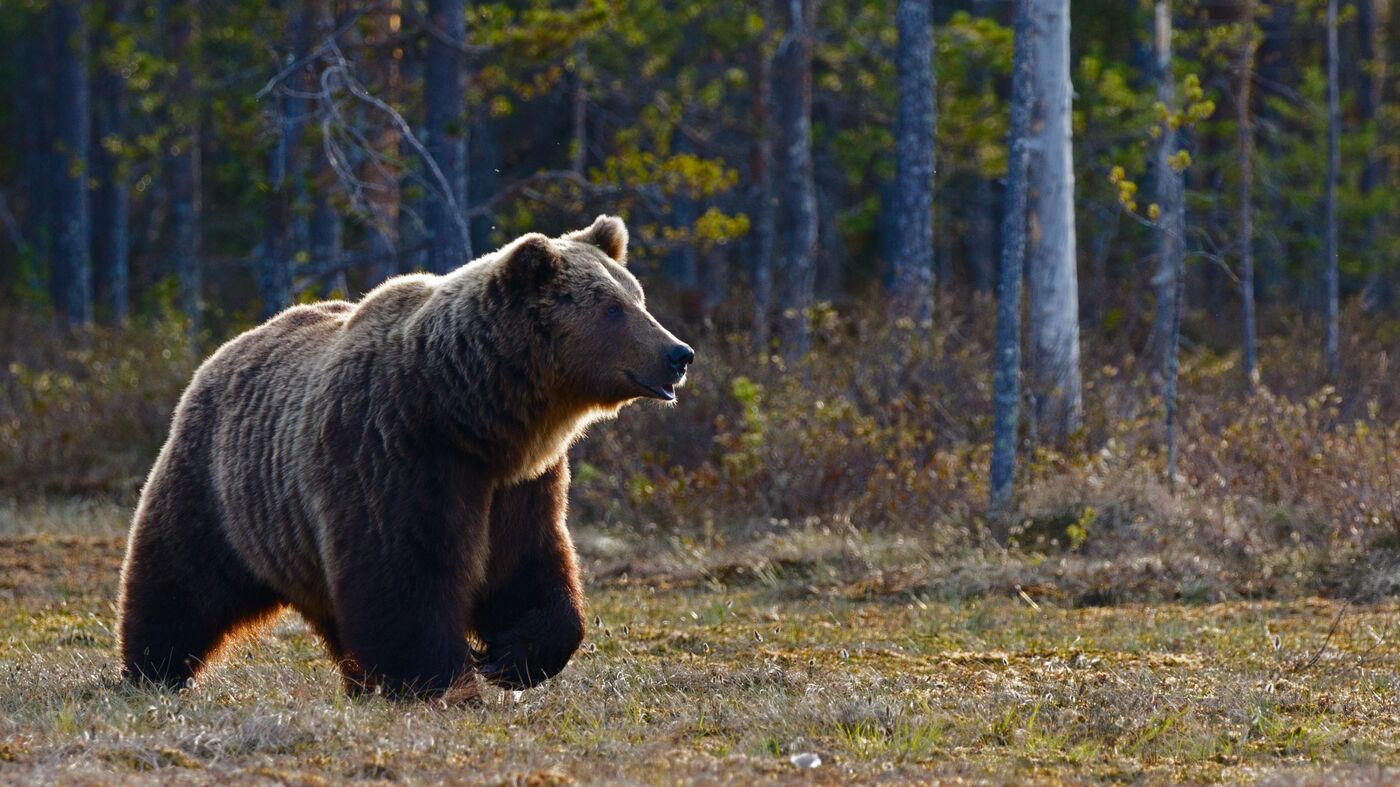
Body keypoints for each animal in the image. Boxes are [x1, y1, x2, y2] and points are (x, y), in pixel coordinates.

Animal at [116, 215, 694, 697]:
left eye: (638, 297)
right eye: (613, 308)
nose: (679, 353)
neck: (471, 414)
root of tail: (224, 350)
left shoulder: (520, 483)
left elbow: (529, 565)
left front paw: (511, 657)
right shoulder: (395, 453)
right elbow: (404, 575)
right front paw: (442, 680)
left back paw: (358, 681)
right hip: (222, 487)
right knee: (179, 580)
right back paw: (152, 670)